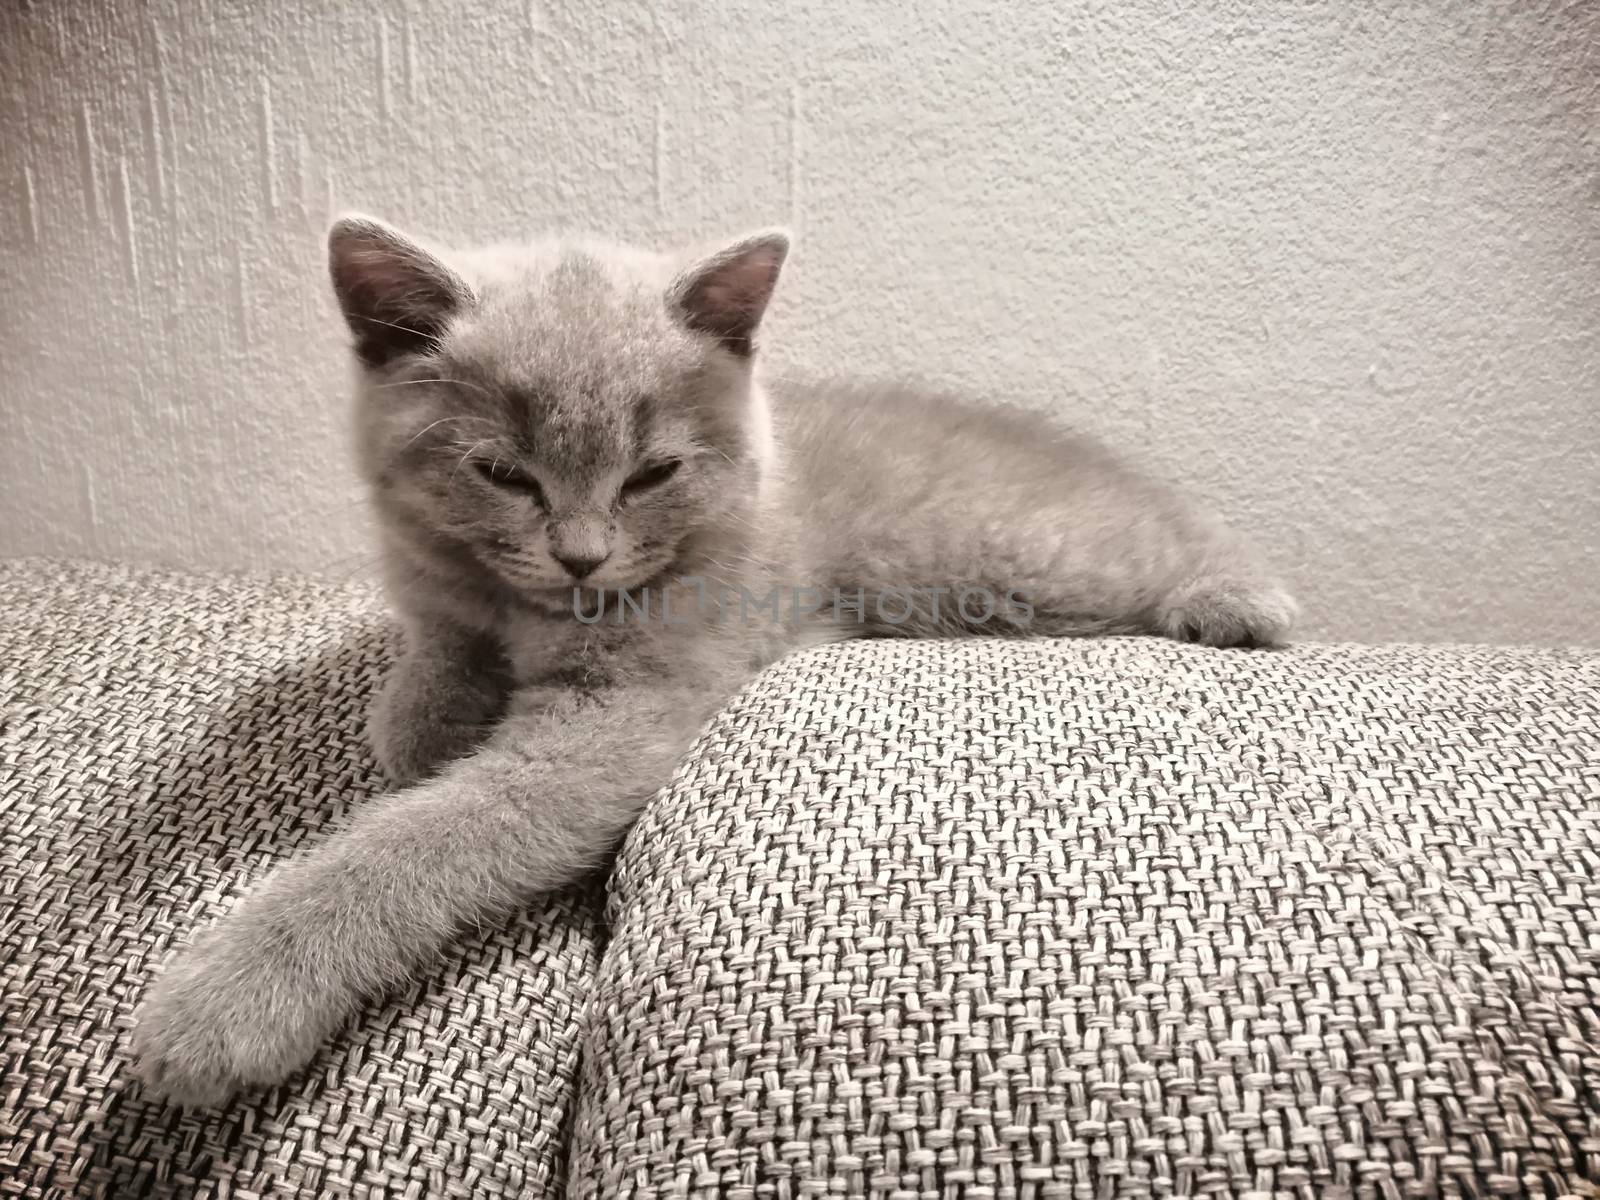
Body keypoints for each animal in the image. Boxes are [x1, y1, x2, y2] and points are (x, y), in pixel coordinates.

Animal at [131, 219, 1292, 1107]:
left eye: (652, 474)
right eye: (502, 473)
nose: (581, 556)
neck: (526, 610)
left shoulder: (624, 710)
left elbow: (421, 840)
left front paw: (224, 1003)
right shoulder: (439, 588)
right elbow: (423, 676)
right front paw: (430, 712)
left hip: (1011, 556)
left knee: (1164, 545)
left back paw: (1238, 602)